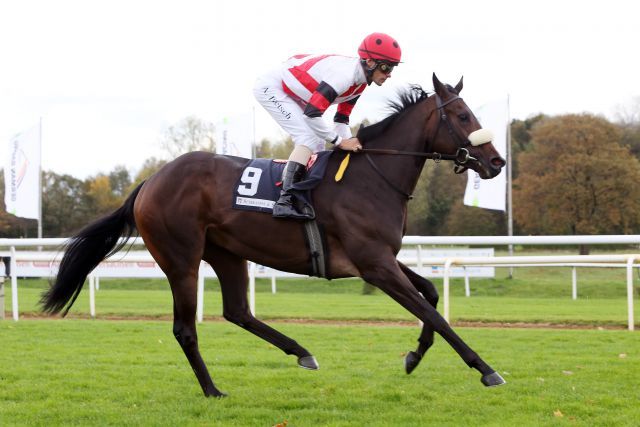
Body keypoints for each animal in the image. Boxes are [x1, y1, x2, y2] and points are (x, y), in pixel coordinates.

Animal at [42, 74, 508, 398]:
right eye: (463, 116)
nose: (496, 162)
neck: (372, 177)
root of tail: (149, 181)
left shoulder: (383, 258)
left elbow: (430, 293)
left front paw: (413, 356)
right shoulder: (373, 265)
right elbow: (434, 312)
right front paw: (486, 368)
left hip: (227, 253)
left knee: (238, 311)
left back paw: (300, 351)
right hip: (181, 258)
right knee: (185, 328)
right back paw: (212, 389)